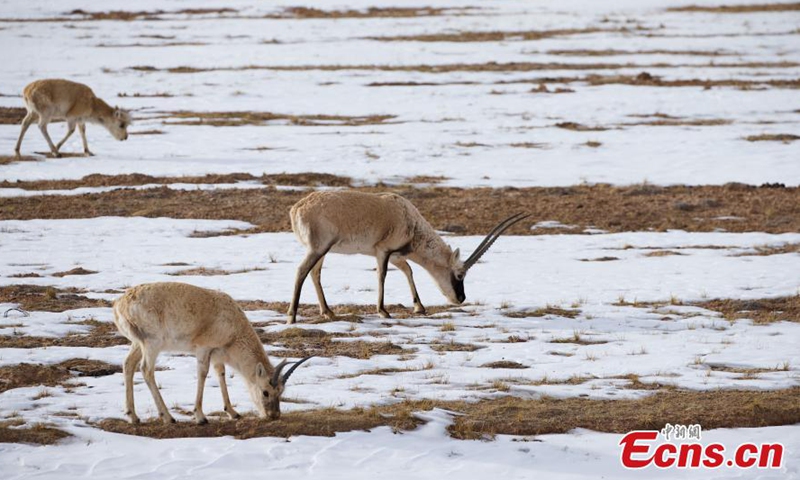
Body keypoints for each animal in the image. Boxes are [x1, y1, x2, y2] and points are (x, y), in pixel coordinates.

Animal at [112, 282, 312, 424]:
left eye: (281, 391)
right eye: (265, 392)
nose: (273, 415)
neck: (233, 324)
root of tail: (119, 305)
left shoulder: (217, 353)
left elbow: (220, 373)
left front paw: (233, 412)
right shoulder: (203, 348)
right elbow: (203, 373)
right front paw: (200, 416)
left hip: (138, 344)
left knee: (128, 364)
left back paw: (133, 416)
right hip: (152, 343)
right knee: (146, 369)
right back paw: (168, 416)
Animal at [288, 190, 532, 322]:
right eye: (460, 275)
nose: (461, 298)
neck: (411, 221)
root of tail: (297, 208)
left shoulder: (397, 255)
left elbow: (409, 270)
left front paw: (419, 307)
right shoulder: (383, 251)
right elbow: (382, 276)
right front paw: (383, 311)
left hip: (322, 251)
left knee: (315, 273)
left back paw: (328, 312)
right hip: (318, 248)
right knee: (301, 271)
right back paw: (292, 315)